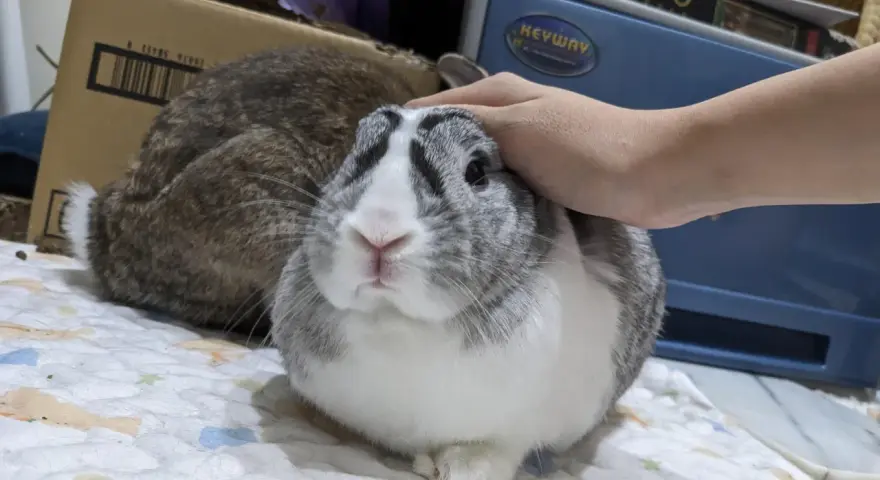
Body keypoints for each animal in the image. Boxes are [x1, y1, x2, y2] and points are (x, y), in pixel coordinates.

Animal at [270, 103, 666, 479]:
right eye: (351, 159)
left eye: (476, 171)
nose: (378, 234)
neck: (393, 318)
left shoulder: (509, 433)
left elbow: (488, 451)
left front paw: (458, 471)